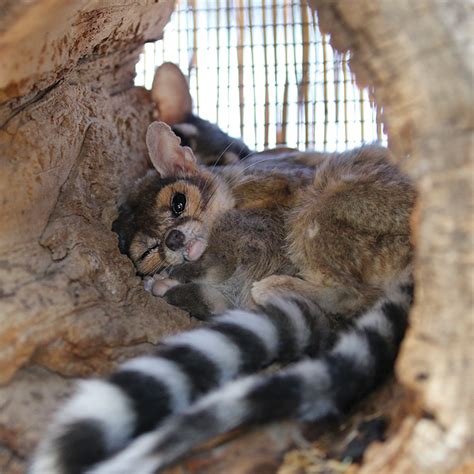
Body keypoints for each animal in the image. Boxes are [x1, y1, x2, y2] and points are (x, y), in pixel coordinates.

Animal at [29, 123, 414, 474]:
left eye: (178, 203)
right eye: (149, 250)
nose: (173, 240)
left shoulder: (276, 191)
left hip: (330, 201)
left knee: (351, 288)